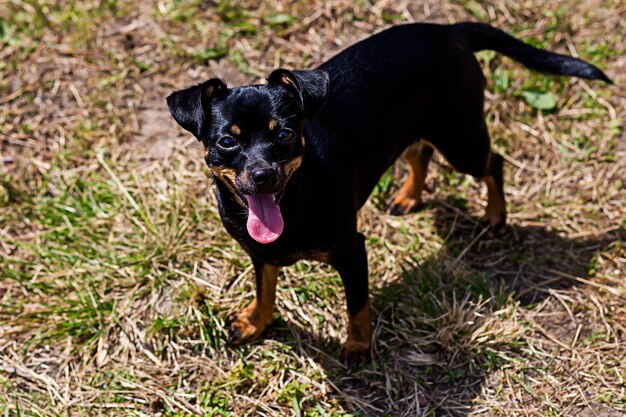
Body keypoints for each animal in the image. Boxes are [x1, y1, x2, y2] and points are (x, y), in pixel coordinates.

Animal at [166, 22, 608, 364]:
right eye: (227, 141)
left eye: (285, 135)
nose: (262, 175)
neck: (294, 198)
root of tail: (451, 30)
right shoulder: (260, 253)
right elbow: (265, 289)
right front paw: (256, 322)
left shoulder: (351, 250)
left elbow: (357, 304)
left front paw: (358, 347)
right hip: (415, 129)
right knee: (420, 150)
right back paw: (409, 195)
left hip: (461, 140)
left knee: (493, 163)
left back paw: (496, 217)